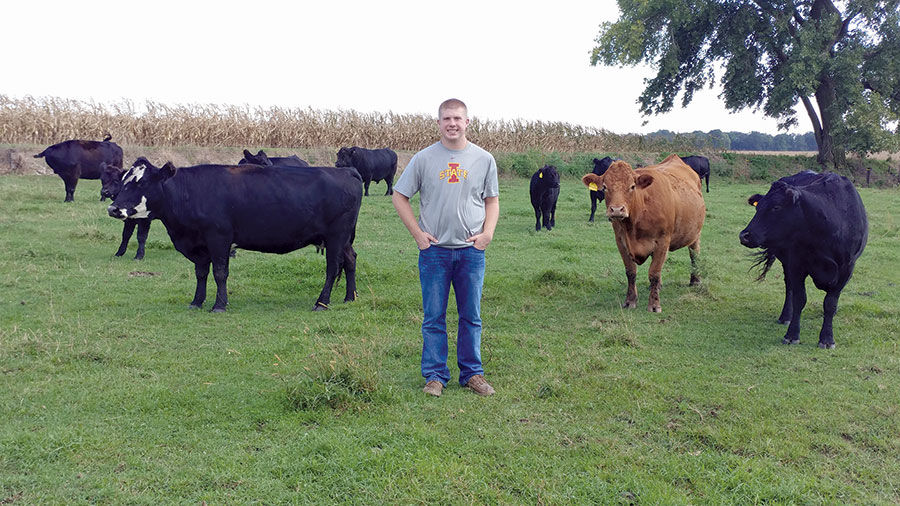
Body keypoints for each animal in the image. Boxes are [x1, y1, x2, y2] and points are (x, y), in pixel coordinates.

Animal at [110, 156, 364, 310]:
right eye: (123, 181)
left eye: (142, 184)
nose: (113, 208)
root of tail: (347, 171)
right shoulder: (199, 245)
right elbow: (201, 273)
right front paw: (197, 302)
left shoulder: (219, 238)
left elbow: (220, 272)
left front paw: (219, 305)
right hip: (343, 240)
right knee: (351, 260)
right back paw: (350, 297)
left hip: (336, 237)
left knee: (333, 267)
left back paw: (322, 302)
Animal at [580, 154, 708, 312]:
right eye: (604, 187)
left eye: (632, 187)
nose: (616, 210)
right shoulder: (621, 241)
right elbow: (631, 272)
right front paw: (630, 301)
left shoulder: (663, 241)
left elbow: (654, 272)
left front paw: (654, 305)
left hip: (695, 234)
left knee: (694, 254)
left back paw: (695, 280)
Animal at [740, 170, 864, 348]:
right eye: (758, 206)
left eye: (776, 207)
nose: (744, 235)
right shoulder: (797, 264)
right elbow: (799, 298)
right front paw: (792, 334)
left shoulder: (846, 269)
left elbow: (830, 303)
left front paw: (827, 338)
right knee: (789, 287)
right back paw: (786, 316)